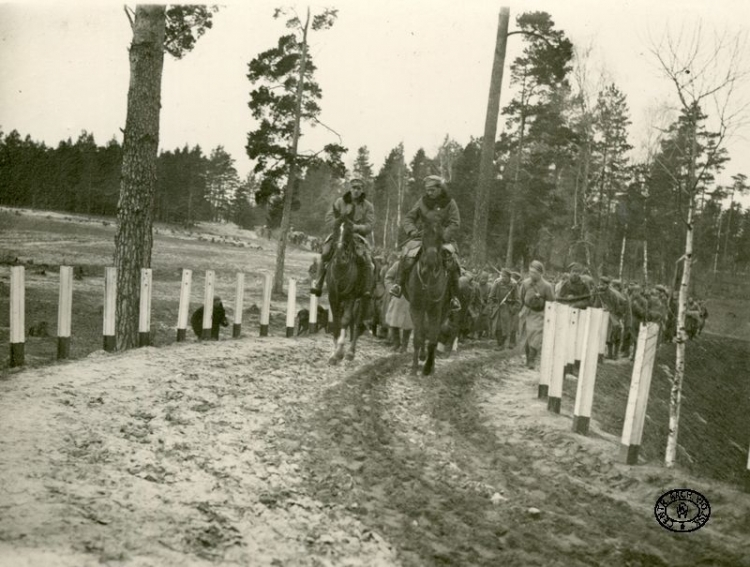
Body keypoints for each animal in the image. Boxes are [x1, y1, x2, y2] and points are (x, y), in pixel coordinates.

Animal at [326, 215, 370, 366]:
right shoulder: (333, 297)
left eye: (350, 231)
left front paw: (339, 353)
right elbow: (336, 321)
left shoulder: (351, 296)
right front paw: (334, 353)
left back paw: (350, 353)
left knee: (357, 323)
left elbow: (345, 320)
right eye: (334, 228)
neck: (341, 269)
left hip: (363, 299)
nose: (340, 254)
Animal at [408, 215, 450, 374]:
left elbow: (433, 337)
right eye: (423, 235)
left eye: (440, 237)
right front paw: (414, 367)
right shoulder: (416, 307)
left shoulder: (435, 310)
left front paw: (428, 367)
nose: (430, 264)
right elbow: (418, 337)